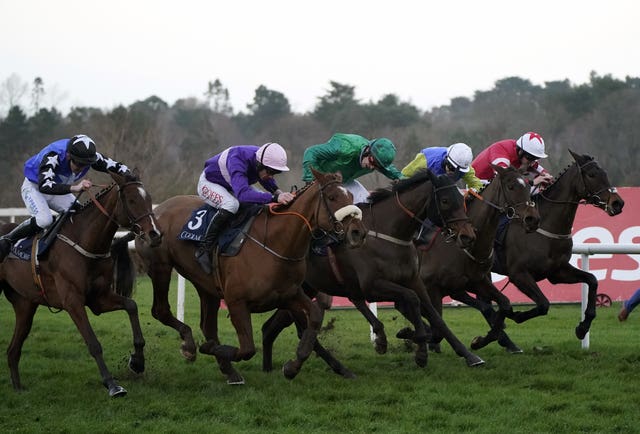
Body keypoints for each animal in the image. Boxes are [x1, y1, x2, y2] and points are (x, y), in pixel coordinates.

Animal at [0, 170, 162, 396]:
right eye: (131, 200)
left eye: (149, 199)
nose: (155, 235)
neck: (85, 242)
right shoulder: (72, 301)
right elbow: (93, 343)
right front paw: (112, 384)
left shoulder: (98, 299)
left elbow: (131, 306)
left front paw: (137, 361)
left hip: (25, 304)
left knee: (13, 350)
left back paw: (18, 389)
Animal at [132, 168, 368, 384]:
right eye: (332, 197)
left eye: (350, 196)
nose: (358, 232)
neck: (276, 243)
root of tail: (154, 214)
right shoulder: (236, 302)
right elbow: (246, 349)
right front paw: (207, 348)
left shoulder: (289, 295)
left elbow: (315, 319)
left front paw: (292, 367)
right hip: (161, 268)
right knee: (161, 311)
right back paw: (187, 347)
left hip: (205, 285)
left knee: (207, 326)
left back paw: (229, 371)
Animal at [262, 169, 484, 372]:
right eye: (445, 201)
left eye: (462, 199)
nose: (468, 236)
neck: (389, 234)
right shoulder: (372, 286)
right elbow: (411, 299)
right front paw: (418, 349)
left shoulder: (414, 280)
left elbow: (435, 317)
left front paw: (469, 355)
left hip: (299, 291)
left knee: (271, 327)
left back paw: (270, 367)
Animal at [420, 165, 540, 352]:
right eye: (511, 186)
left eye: (528, 185)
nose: (532, 219)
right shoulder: (431, 286)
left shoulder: (476, 280)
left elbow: (504, 304)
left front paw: (481, 340)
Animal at [470, 149, 624, 350]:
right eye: (592, 175)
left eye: (605, 173)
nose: (618, 203)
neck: (545, 226)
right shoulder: (519, 274)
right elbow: (543, 304)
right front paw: (517, 315)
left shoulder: (557, 272)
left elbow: (592, 280)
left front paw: (582, 327)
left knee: (484, 301)